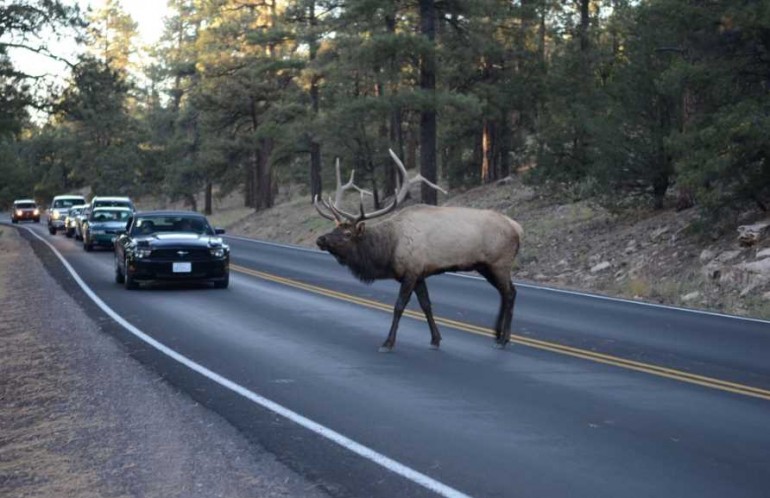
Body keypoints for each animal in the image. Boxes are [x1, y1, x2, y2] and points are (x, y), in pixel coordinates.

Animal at [314, 150, 520, 352]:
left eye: (347, 233)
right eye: (334, 228)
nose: (320, 239)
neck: (388, 249)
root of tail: (517, 228)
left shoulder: (411, 272)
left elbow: (399, 306)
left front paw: (388, 343)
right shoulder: (420, 274)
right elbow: (426, 305)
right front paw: (435, 339)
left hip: (500, 263)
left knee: (510, 292)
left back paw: (504, 339)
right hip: (484, 266)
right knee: (505, 292)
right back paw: (498, 335)